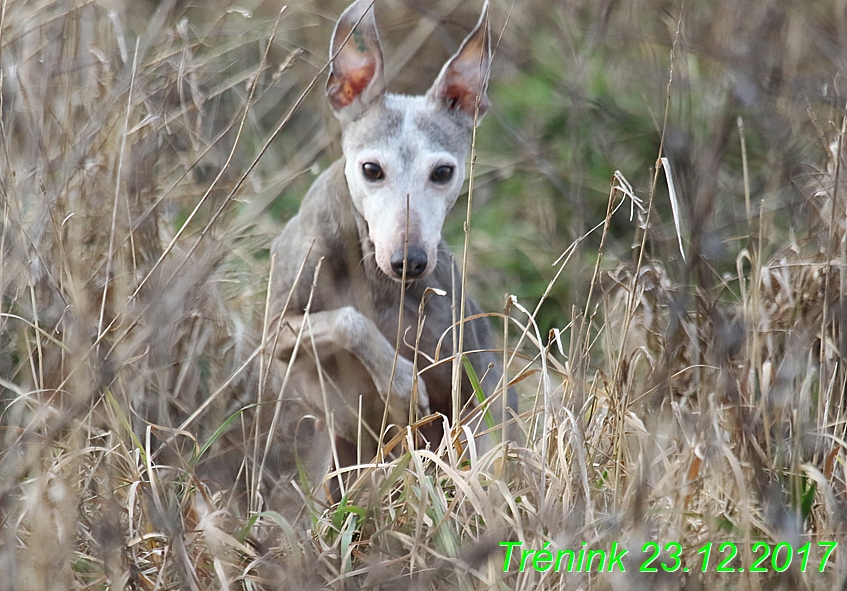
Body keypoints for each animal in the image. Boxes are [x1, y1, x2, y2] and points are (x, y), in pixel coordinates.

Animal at [268, 0, 512, 490]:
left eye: (443, 172)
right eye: (371, 169)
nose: (409, 261)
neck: (377, 283)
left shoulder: (470, 374)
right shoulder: (275, 337)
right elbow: (348, 320)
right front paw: (400, 383)